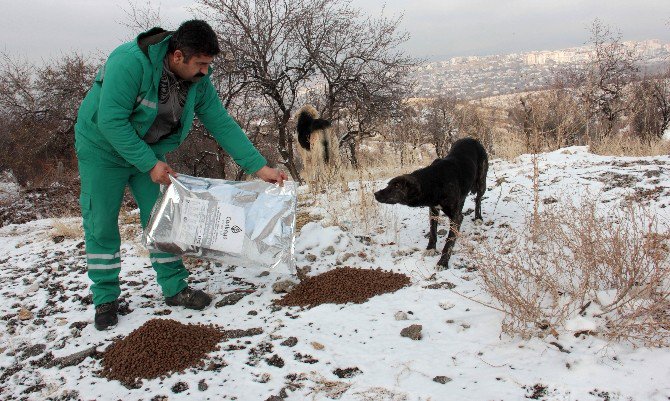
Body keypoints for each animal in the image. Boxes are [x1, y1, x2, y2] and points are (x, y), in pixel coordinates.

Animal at [372, 138, 488, 268]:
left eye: (396, 186)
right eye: (388, 184)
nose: (375, 194)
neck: (435, 182)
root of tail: (472, 139)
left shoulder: (455, 217)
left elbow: (449, 242)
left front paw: (443, 262)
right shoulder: (433, 210)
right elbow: (433, 232)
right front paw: (430, 249)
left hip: (481, 182)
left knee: (478, 199)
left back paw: (478, 218)